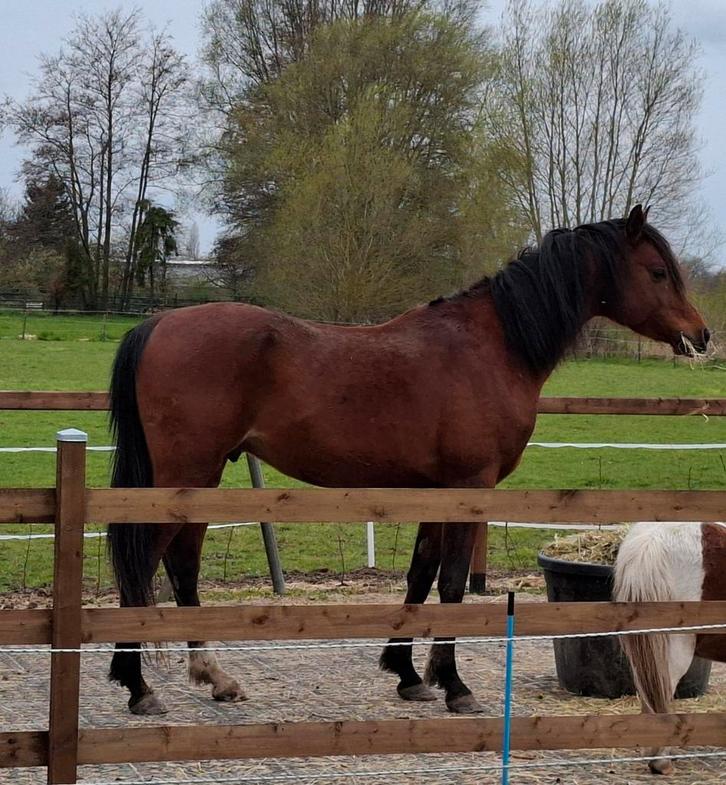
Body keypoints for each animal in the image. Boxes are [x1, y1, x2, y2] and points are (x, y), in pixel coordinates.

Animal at [107, 205, 709, 715]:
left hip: (199, 478)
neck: (492, 346)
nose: (701, 336)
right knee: (144, 560)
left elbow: (421, 573)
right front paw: (455, 685)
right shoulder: (469, 487)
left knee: (181, 564)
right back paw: (138, 686)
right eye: (658, 271)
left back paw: (213, 677)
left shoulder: (436, 490)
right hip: (188, 473)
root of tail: (158, 324)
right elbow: (452, 583)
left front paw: (408, 674)